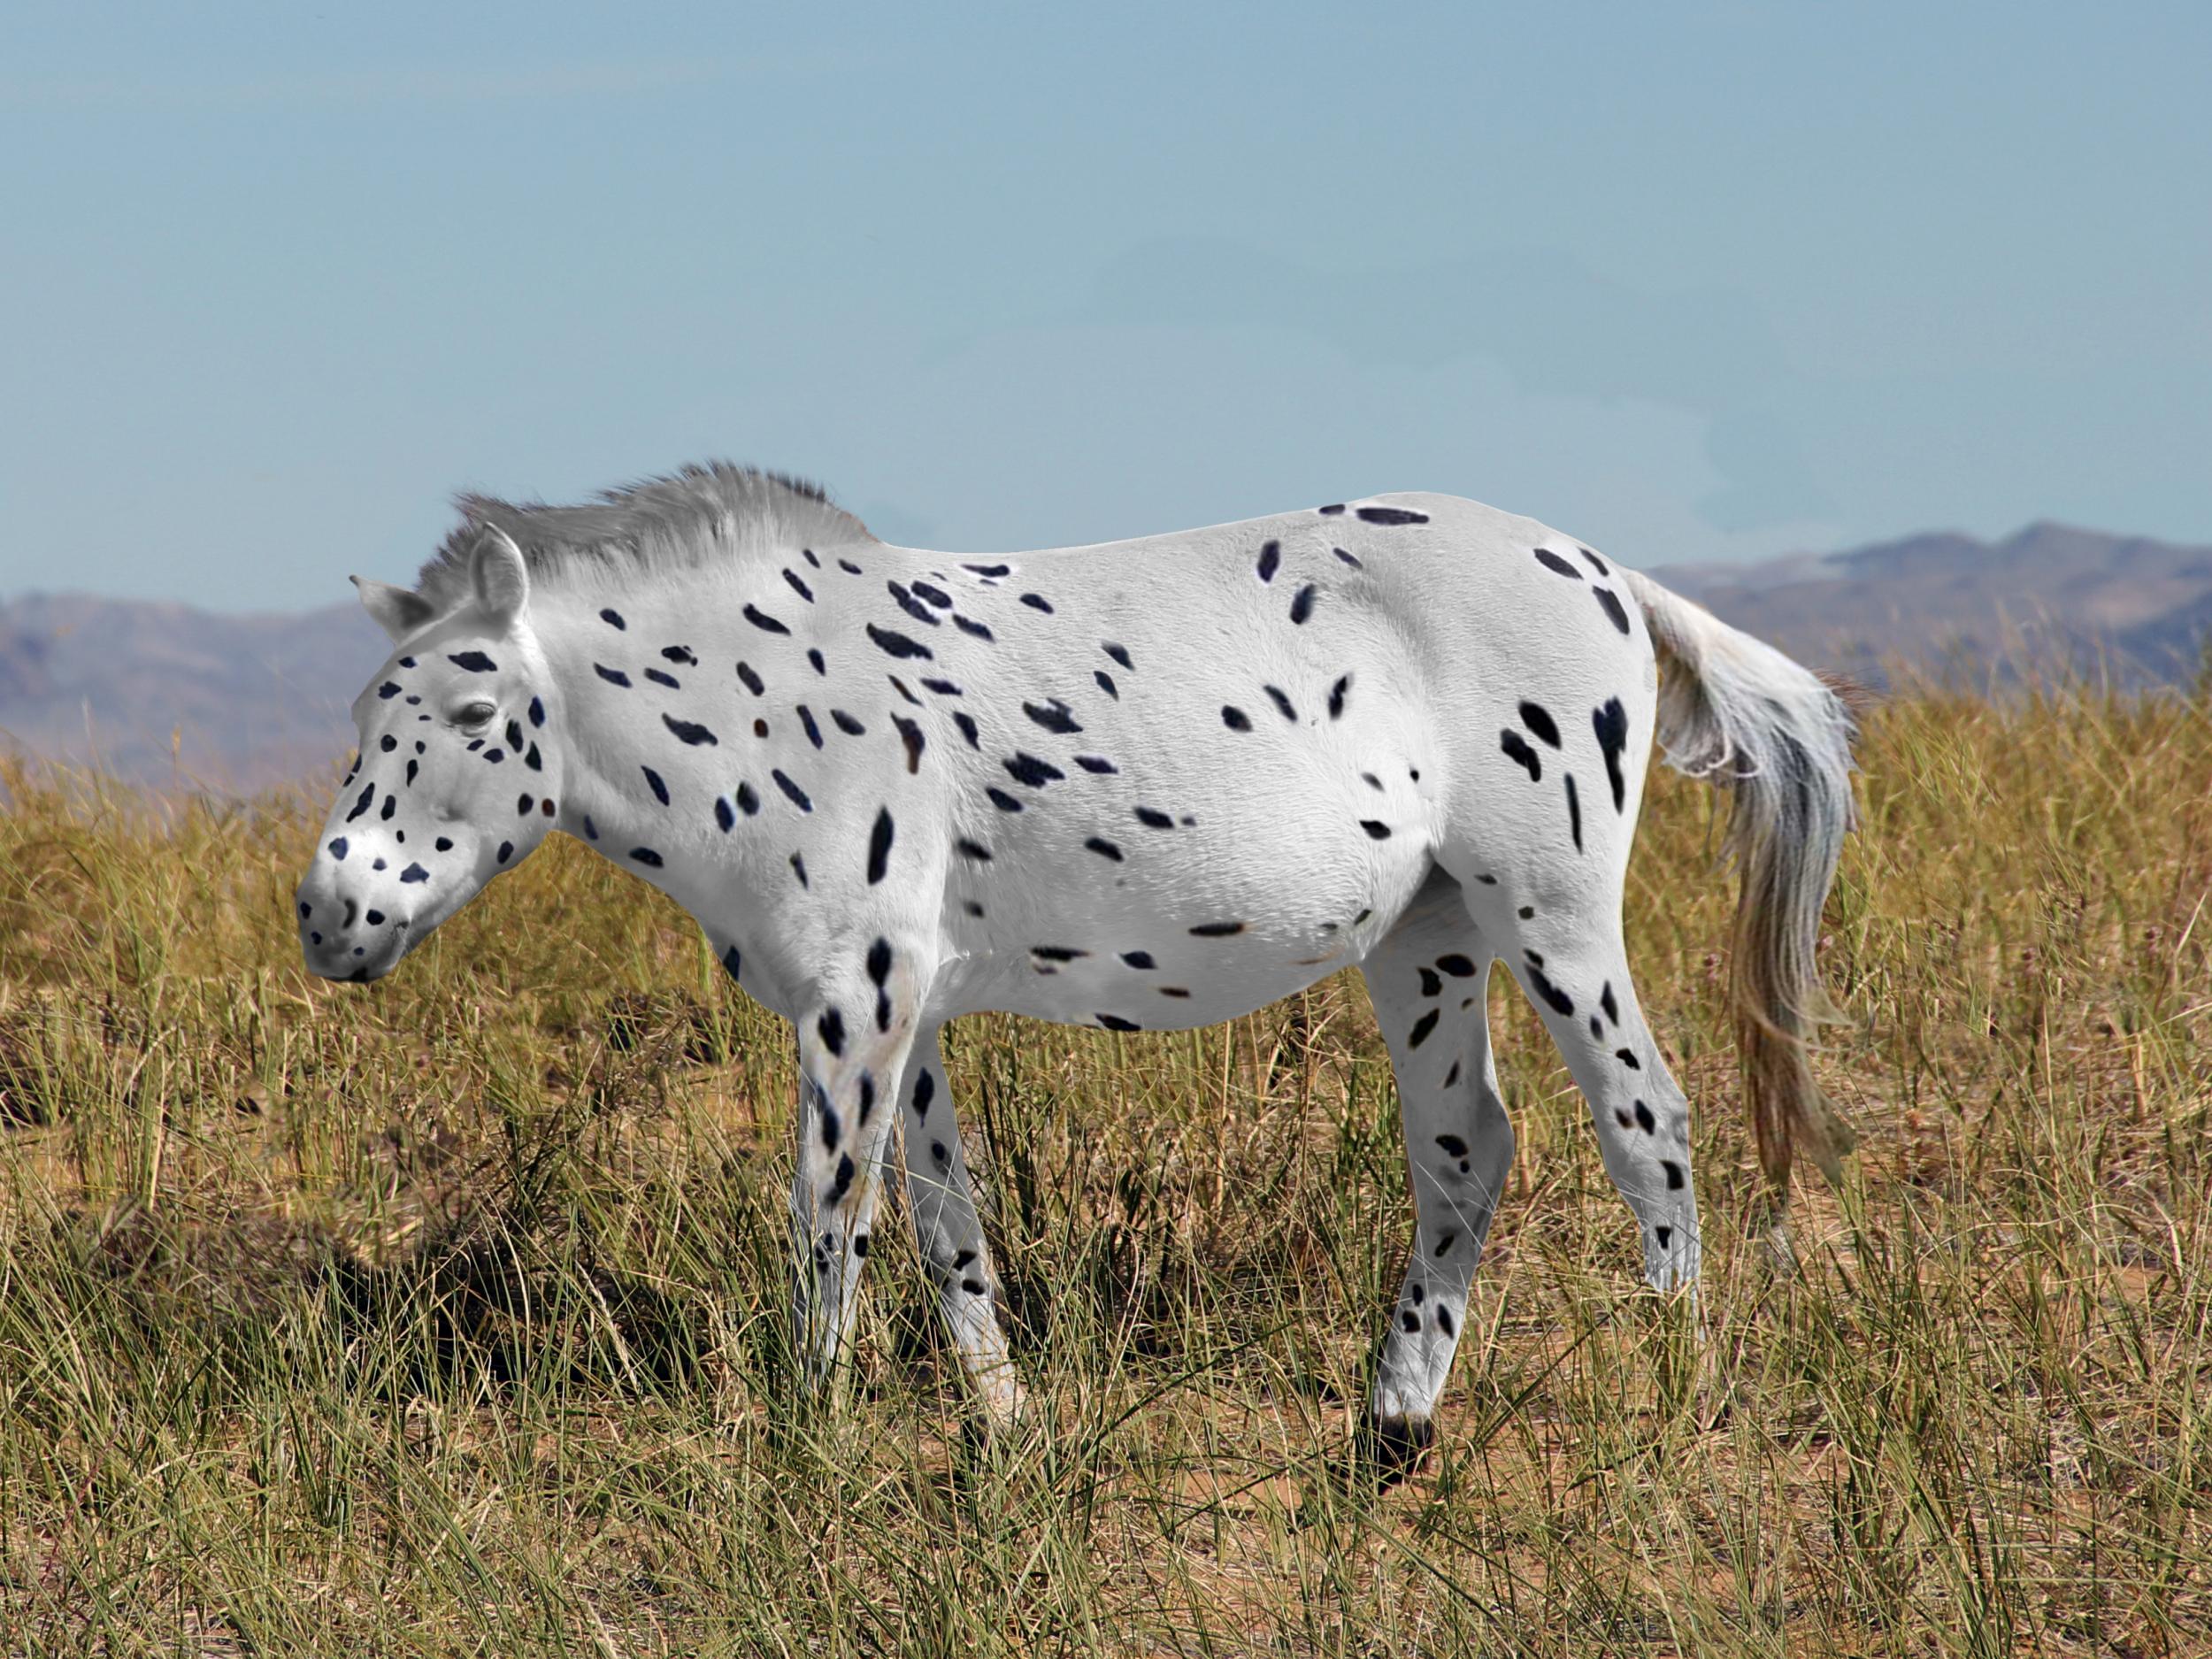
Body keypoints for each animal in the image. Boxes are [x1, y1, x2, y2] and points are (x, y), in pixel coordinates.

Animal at [289, 462, 1849, 1478]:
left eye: (475, 711)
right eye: (364, 711)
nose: (329, 911)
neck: (773, 697)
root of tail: (1609, 575)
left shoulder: (855, 1000)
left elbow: (829, 1217)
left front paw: (806, 1441)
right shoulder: (901, 1009)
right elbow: (944, 1223)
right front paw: (1005, 1426)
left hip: (1555, 917)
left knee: (1647, 1123)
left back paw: (1678, 1397)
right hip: (1430, 939)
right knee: (1467, 1146)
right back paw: (1393, 1427)